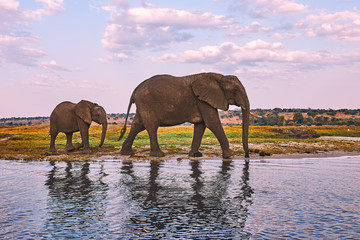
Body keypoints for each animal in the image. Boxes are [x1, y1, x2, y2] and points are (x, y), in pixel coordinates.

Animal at [119, 73, 249, 159]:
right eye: (235, 90)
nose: (247, 156)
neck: (219, 77)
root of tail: (135, 91)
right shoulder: (202, 100)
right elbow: (212, 123)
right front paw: (230, 155)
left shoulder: (202, 100)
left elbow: (200, 125)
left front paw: (195, 155)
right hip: (146, 102)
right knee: (151, 126)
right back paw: (159, 155)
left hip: (142, 104)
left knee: (137, 125)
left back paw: (126, 152)